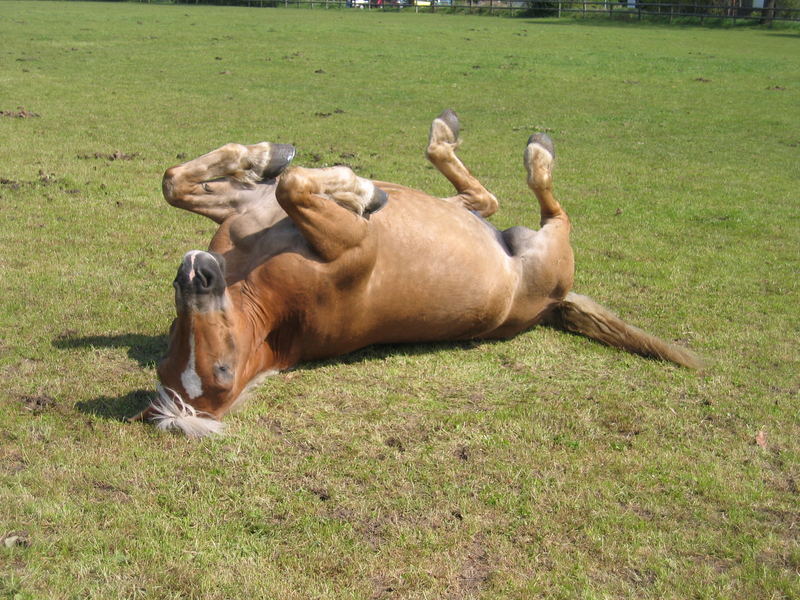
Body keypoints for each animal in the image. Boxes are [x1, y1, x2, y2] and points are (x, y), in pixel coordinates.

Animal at [130, 109, 700, 436]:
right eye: (222, 371)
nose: (196, 277)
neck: (265, 298)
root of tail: (556, 303)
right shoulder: (350, 242)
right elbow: (290, 184)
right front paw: (356, 188)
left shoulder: (243, 212)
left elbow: (177, 180)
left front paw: (267, 156)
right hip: (549, 251)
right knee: (546, 206)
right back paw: (535, 152)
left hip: (471, 218)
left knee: (483, 198)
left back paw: (451, 135)